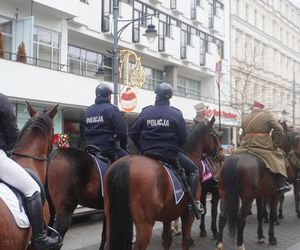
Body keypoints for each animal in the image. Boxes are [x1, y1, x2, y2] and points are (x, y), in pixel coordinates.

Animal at [104, 117, 221, 250]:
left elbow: (167, 239)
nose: (220, 154)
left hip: (112, 220)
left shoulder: (167, 215)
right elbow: (185, 241)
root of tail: (126, 164)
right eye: (215, 135)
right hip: (145, 225)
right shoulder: (188, 215)